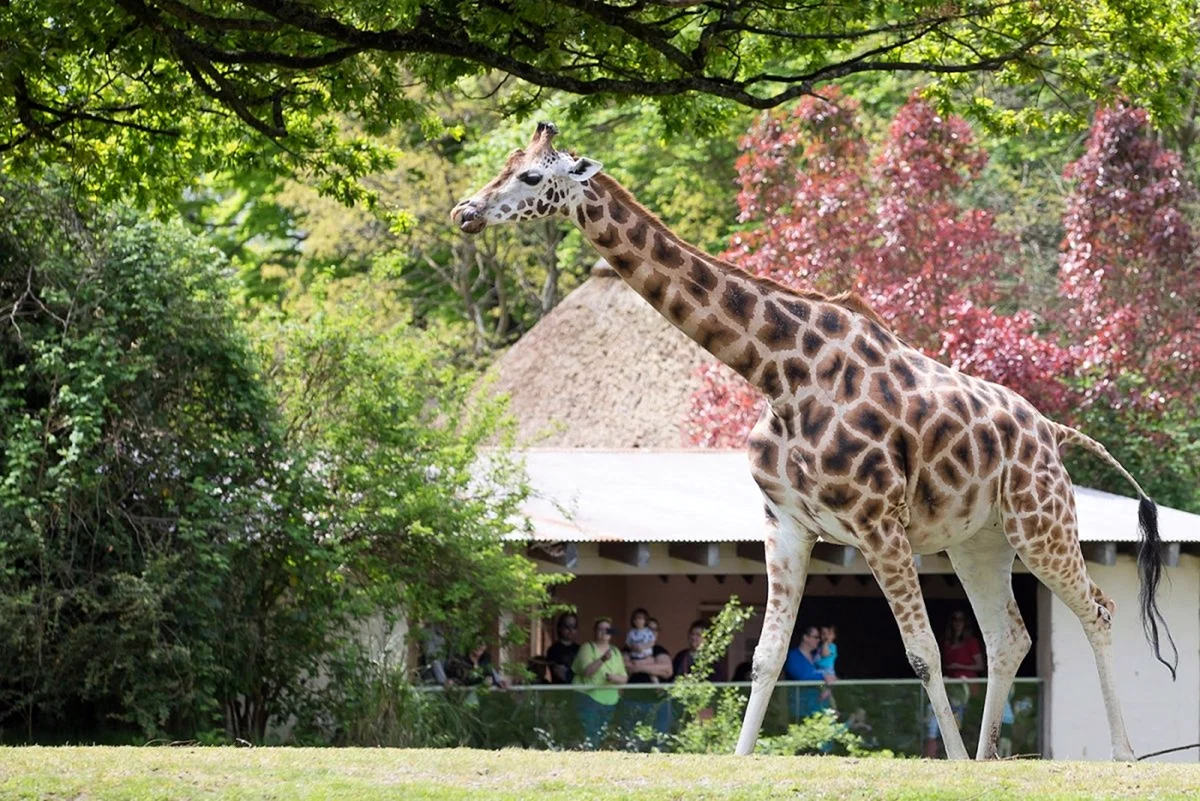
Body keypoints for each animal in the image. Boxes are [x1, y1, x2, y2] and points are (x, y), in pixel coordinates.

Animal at [453, 122, 1176, 762]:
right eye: (508, 163)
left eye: (531, 176)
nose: (466, 211)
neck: (778, 370)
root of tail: (1052, 429)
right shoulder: (786, 522)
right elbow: (768, 654)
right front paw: (742, 760)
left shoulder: (879, 524)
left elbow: (923, 653)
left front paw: (950, 765)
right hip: (980, 541)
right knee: (1008, 637)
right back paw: (990, 757)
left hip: (1040, 522)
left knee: (1099, 610)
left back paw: (1119, 753)